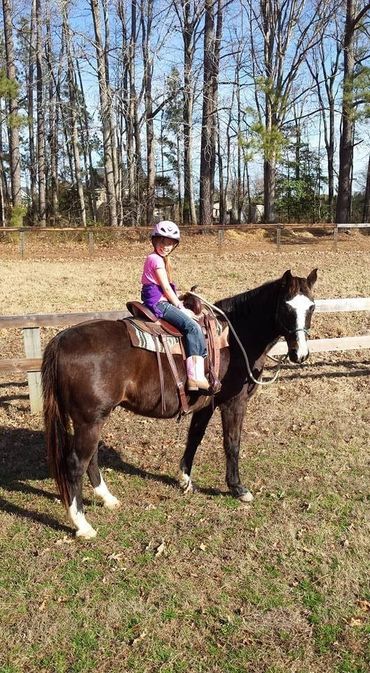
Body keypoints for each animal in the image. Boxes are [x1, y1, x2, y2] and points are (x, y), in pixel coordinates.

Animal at [41, 268, 318, 536]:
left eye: (312, 307)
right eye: (286, 307)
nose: (300, 354)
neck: (236, 336)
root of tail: (61, 339)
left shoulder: (206, 405)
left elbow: (194, 437)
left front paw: (185, 478)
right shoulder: (233, 403)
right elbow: (232, 444)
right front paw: (238, 488)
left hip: (92, 420)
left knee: (91, 459)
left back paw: (107, 499)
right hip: (90, 420)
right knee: (76, 463)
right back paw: (82, 524)